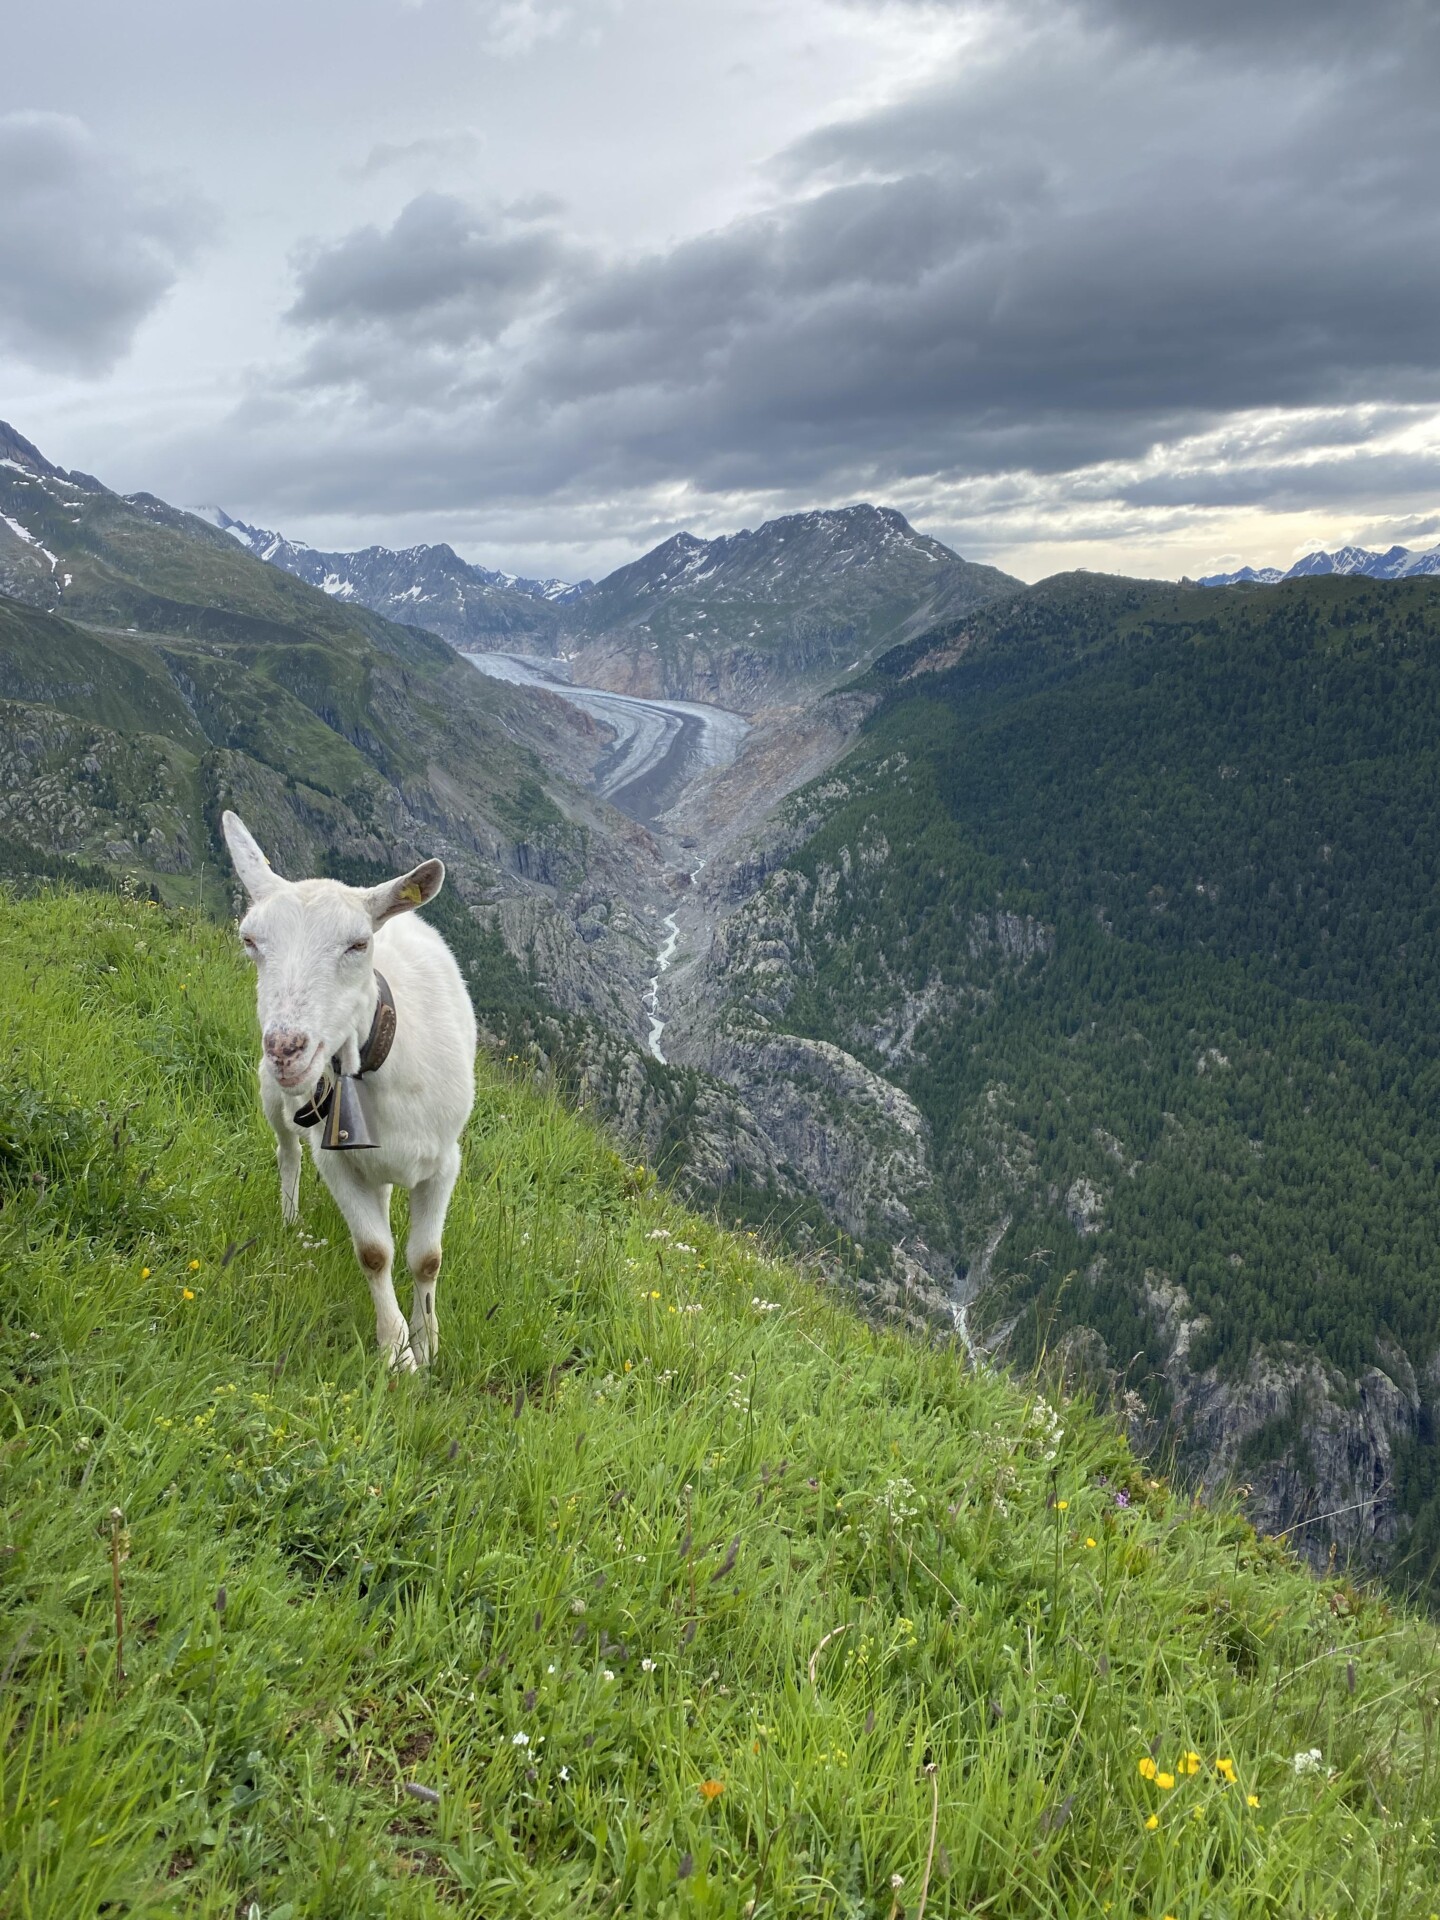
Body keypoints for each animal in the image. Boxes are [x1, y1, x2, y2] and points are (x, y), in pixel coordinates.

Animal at [222, 810, 476, 1367]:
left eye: (358, 945)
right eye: (250, 941)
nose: (286, 1049)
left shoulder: (445, 1162)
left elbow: (427, 1259)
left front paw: (428, 1344)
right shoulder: (334, 1161)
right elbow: (375, 1253)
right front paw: (397, 1354)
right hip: (274, 1101)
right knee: (287, 1151)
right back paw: (290, 1218)